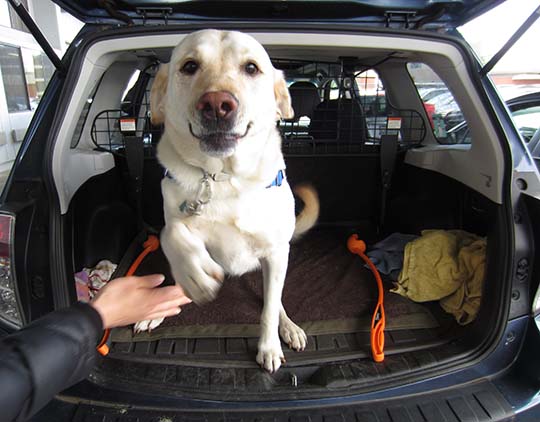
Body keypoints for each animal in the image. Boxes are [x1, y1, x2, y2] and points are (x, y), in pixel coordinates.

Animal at [135, 30, 320, 372]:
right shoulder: (177, 214)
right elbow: (172, 232)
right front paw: (193, 272)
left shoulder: (276, 251)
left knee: (276, 300)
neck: (223, 177)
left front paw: (269, 347)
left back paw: (288, 327)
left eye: (251, 68)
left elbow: (268, 310)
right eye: (189, 65)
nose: (217, 105)